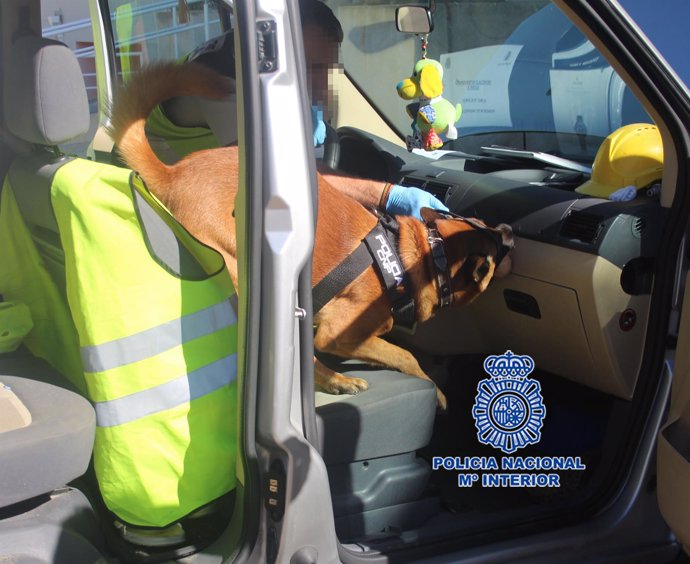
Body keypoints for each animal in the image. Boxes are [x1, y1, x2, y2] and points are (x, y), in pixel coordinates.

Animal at [107, 61, 510, 408]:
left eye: (483, 223)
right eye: (496, 253)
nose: (509, 228)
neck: (418, 255)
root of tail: (174, 172)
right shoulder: (340, 332)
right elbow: (405, 354)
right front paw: (437, 393)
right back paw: (336, 380)